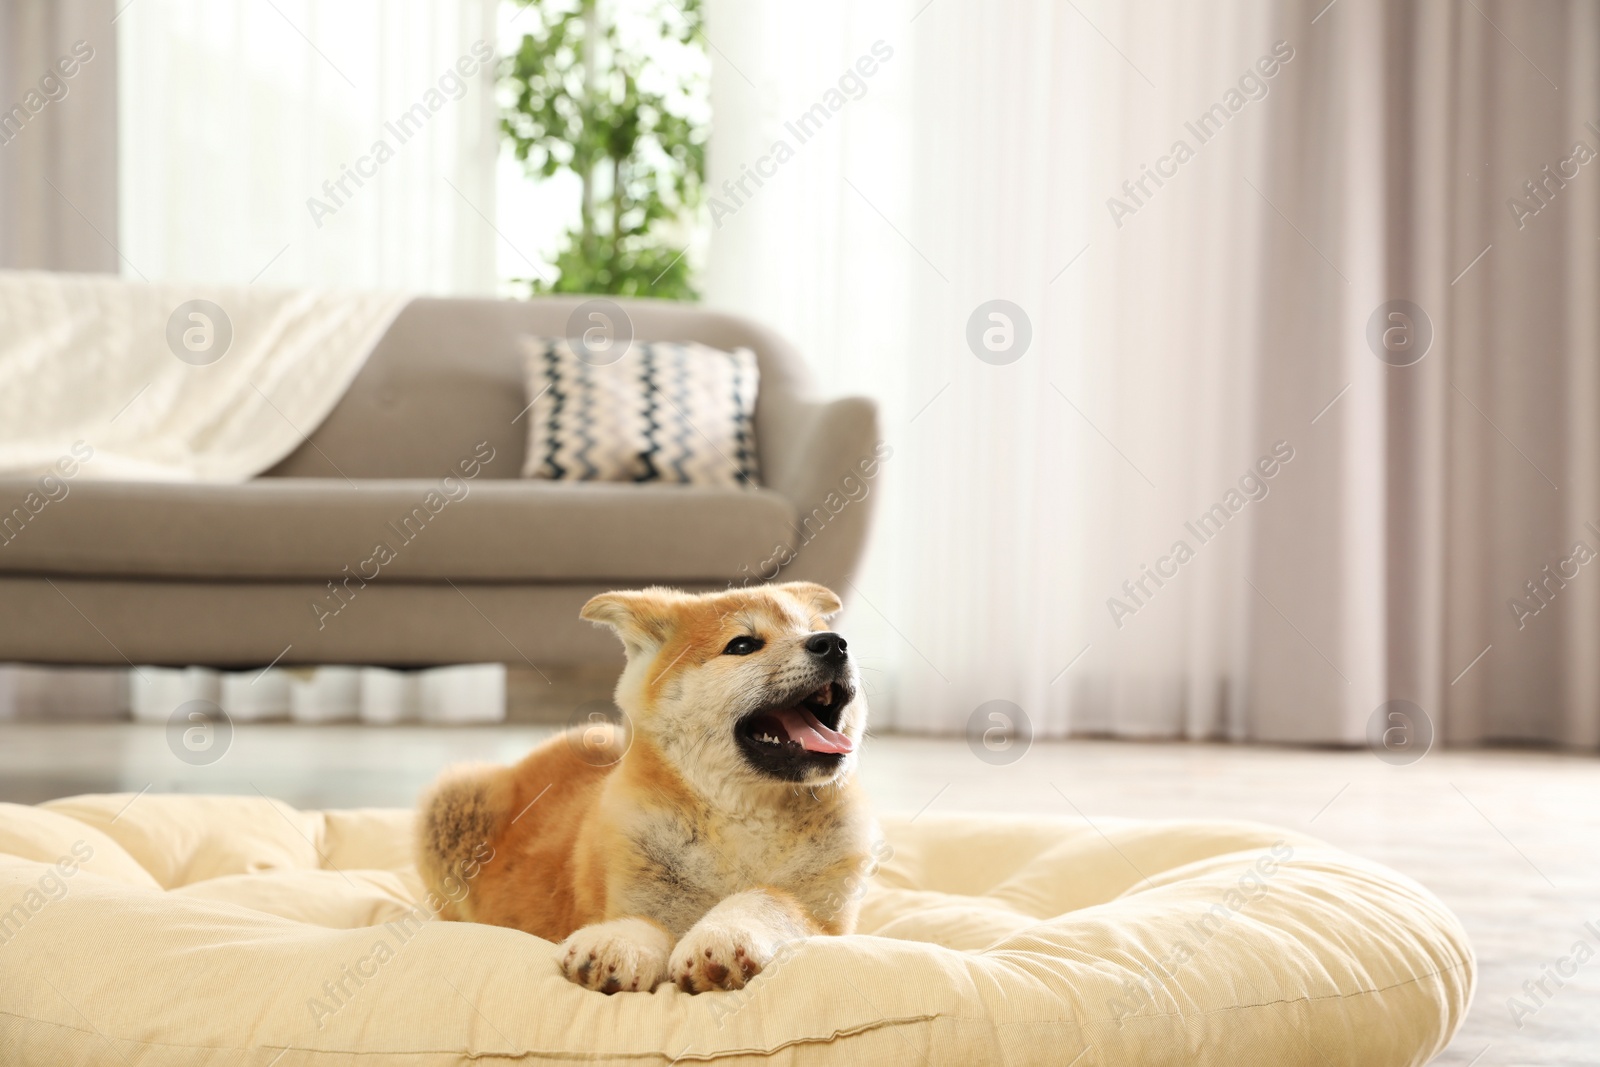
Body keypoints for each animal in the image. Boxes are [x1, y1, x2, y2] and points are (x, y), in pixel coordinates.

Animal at [409, 585, 876, 991]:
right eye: (743, 645)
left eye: (812, 628)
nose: (834, 643)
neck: (744, 820)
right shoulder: (635, 889)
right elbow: (645, 923)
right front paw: (615, 944)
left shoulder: (829, 921)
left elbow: (768, 897)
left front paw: (721, 938)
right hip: (454, 804)